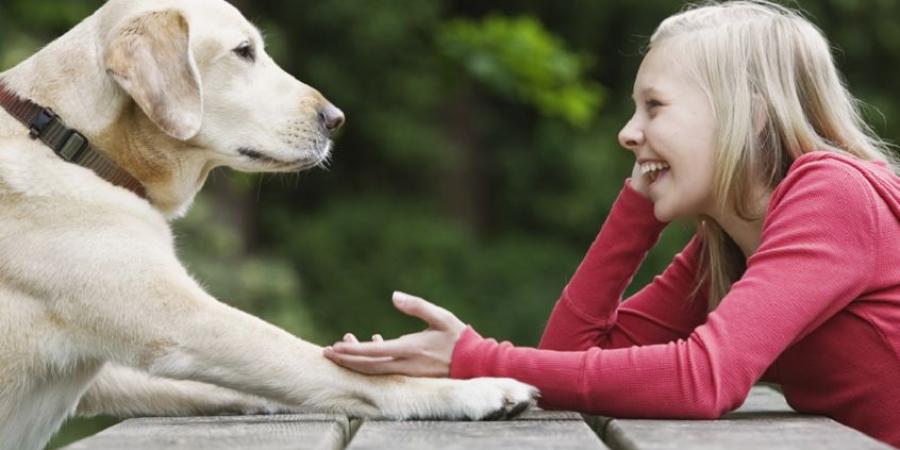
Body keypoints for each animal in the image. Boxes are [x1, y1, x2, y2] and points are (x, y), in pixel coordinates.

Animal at [0, 0, 536, 450]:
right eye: (244, 52)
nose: (335, 118)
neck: (69, 138)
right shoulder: (186, 323)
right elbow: (330, 367)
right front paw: (475, 390)